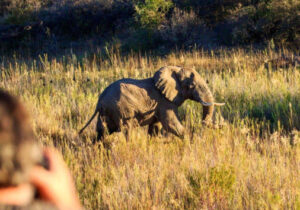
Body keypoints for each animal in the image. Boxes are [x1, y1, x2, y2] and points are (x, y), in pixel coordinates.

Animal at [78, 66, 224, 140]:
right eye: (192, 85)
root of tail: (100, 101)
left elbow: (155, 128)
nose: (222, 126)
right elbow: (171, 125)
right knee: (127, 130)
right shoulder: (164, 102)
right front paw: (190, 141)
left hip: (107, 112)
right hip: (120, 110)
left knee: (102, 132)